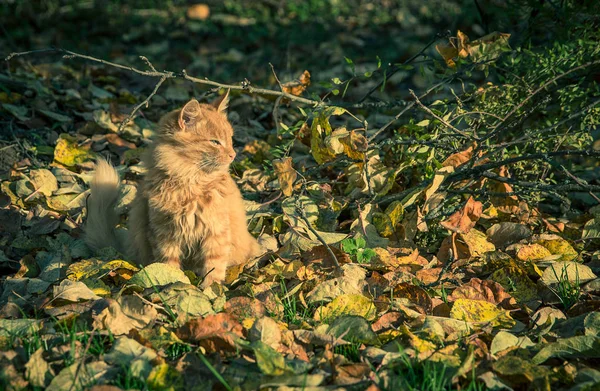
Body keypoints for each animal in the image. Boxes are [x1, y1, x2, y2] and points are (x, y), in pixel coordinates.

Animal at [84, 92, 260, 288]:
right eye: (215, 142)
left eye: (230, 140)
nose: (232, 155)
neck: (190, 184)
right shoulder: (164, 235)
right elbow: (169, 265)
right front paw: (174, 282)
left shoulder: (216, 232)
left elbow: (213, 267)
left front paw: (211, 290)